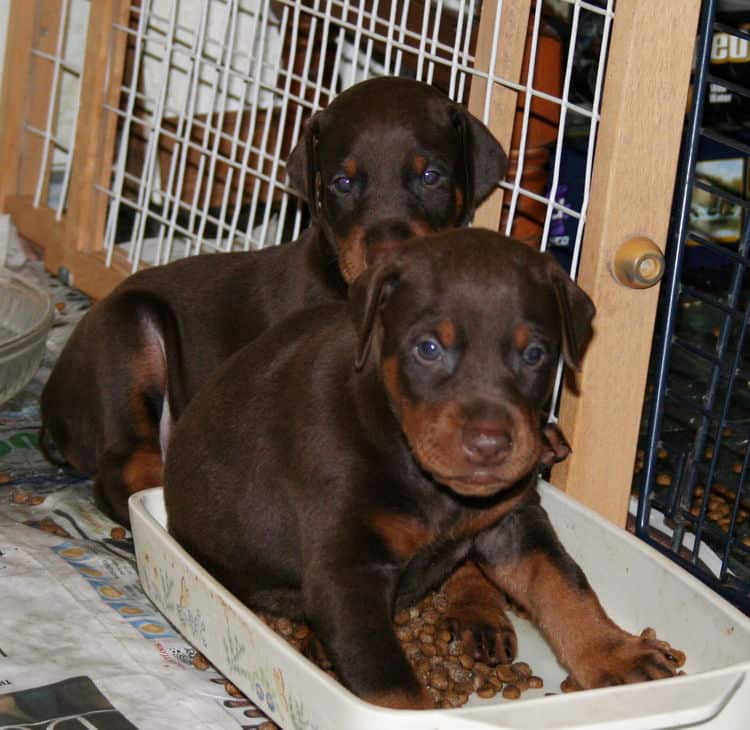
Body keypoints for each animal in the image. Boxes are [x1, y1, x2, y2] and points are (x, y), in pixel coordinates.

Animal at [166, 230, 688, 708]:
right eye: (429, 348)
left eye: (535, 354)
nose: (489, 444)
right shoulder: (346, 571)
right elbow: (389, 684)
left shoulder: (512, 520)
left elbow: (564, 583)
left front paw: (617, 652)